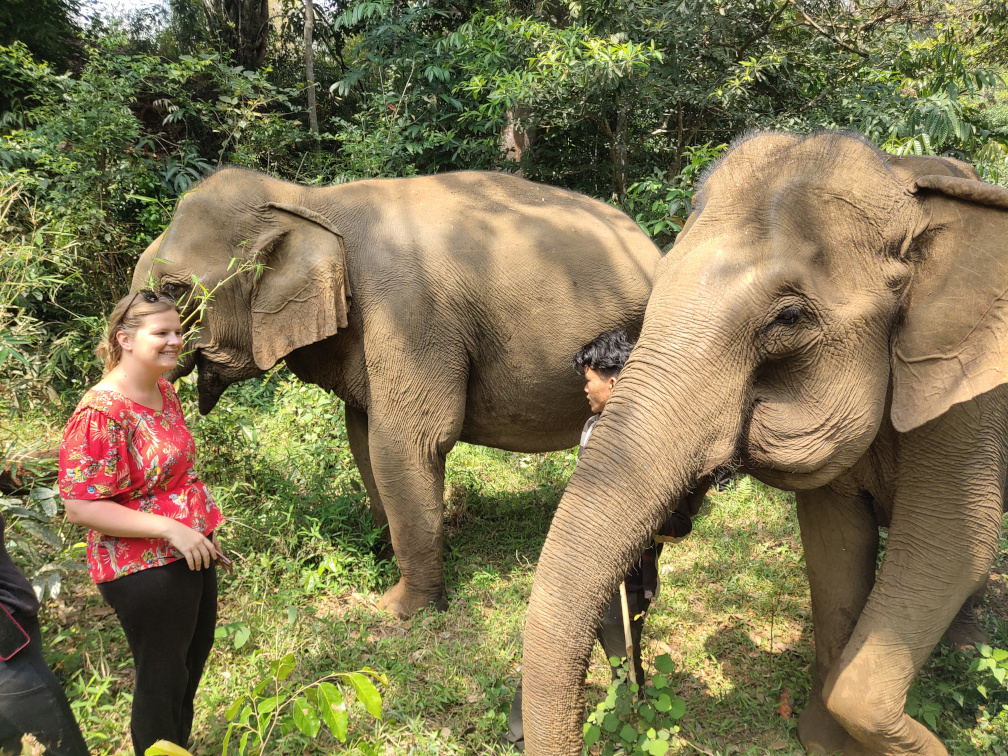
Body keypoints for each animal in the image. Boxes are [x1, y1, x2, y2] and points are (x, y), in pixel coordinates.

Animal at [130, 168, 665, 616]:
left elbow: (407, 443)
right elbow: (362, 436)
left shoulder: (410, 312)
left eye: (174, 289)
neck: (308, 200)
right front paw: (384, 559)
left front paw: (399, 611)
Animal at [520, 132, 1008, 756]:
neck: (906, 188)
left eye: (790, 316)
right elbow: (834, 541)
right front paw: (825, 743)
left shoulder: (971, 395)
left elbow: (949, 540)